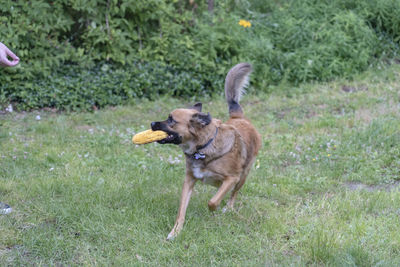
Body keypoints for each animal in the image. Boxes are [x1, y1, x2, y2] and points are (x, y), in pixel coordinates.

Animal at [152, 63, 260, 241]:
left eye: (171, 120)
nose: (152, 124)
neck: (202, 147)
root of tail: (239, 118)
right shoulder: (189, 180)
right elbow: (181, 211)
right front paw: (175, 232)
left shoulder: (232, 178)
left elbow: (213, 202)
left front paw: (214, 210)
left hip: (243, 176)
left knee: (233, 194)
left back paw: (228, 207)